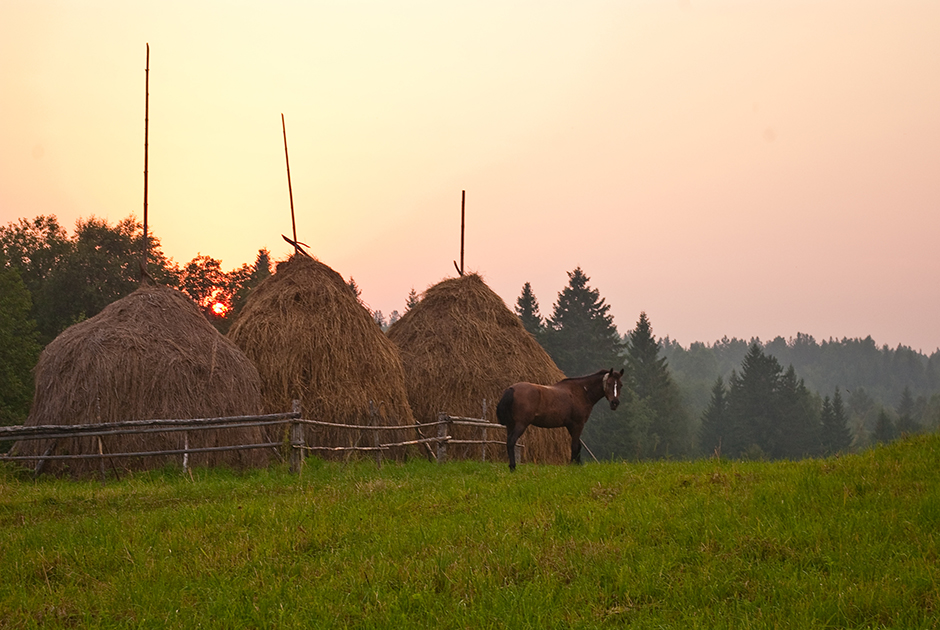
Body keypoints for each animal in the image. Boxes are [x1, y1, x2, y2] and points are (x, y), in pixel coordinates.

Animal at [492, 368, 624, 472]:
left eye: (620, 385)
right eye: (609, 383)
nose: (615, 403)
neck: (581, 392)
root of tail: (511, 389)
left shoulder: (571, 426)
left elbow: (578, 445)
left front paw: (577, 465)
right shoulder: (578, 424)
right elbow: (574, 445)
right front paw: (572, 466)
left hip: (510, 425)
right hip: (520, 424)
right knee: (511, 441)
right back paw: (513, 467)